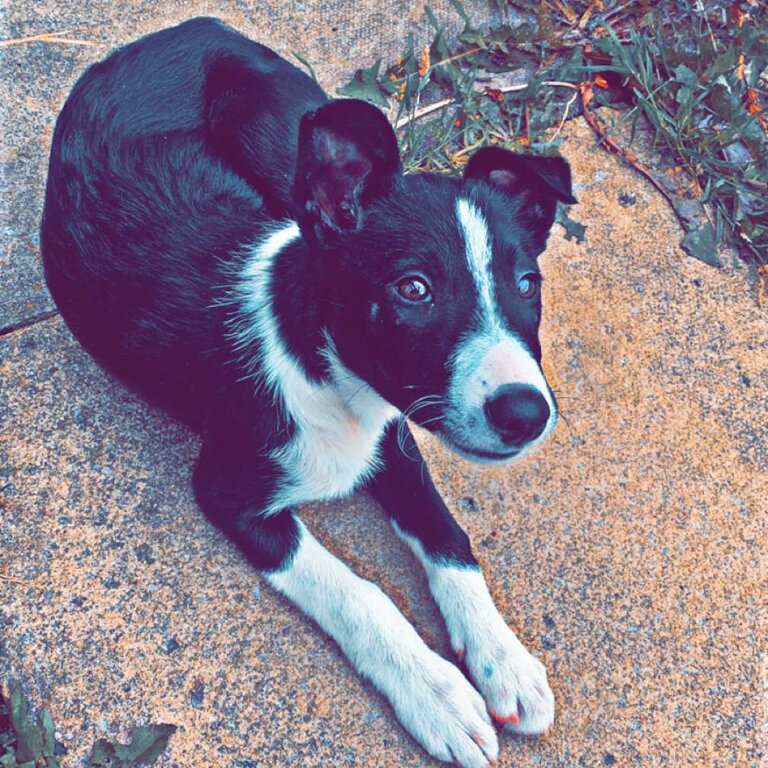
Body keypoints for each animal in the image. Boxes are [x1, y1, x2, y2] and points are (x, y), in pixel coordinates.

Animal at [37, 15, 576, 764]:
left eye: (527, 284)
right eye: (413, 289)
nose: (525, 413)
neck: (335, 383)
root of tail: (182, 25)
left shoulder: (396, 433)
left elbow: (448, 535)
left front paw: (503, 659)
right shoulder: (229, 490)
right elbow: (357, 591)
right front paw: (434, 690)